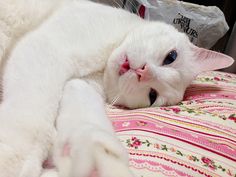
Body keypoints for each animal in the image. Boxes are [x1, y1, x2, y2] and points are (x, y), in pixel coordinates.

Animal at [0, 0, 233, 177]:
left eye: (152, 95)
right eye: (171, 57)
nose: (143, 72)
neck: (103, 65)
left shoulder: (79, 84)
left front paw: (94, 154)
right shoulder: (50, 47)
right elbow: (34, 116)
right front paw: (15, 160)